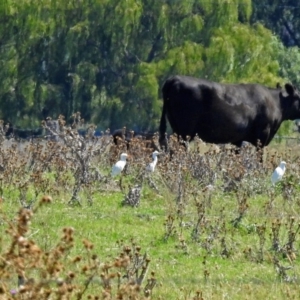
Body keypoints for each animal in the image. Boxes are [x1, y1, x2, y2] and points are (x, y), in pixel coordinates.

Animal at [159, 75, 300, 149]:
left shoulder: (238, 140)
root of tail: (174, 78)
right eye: (299, 97)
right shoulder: (262, 136)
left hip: (176, 128)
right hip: (185, 131)